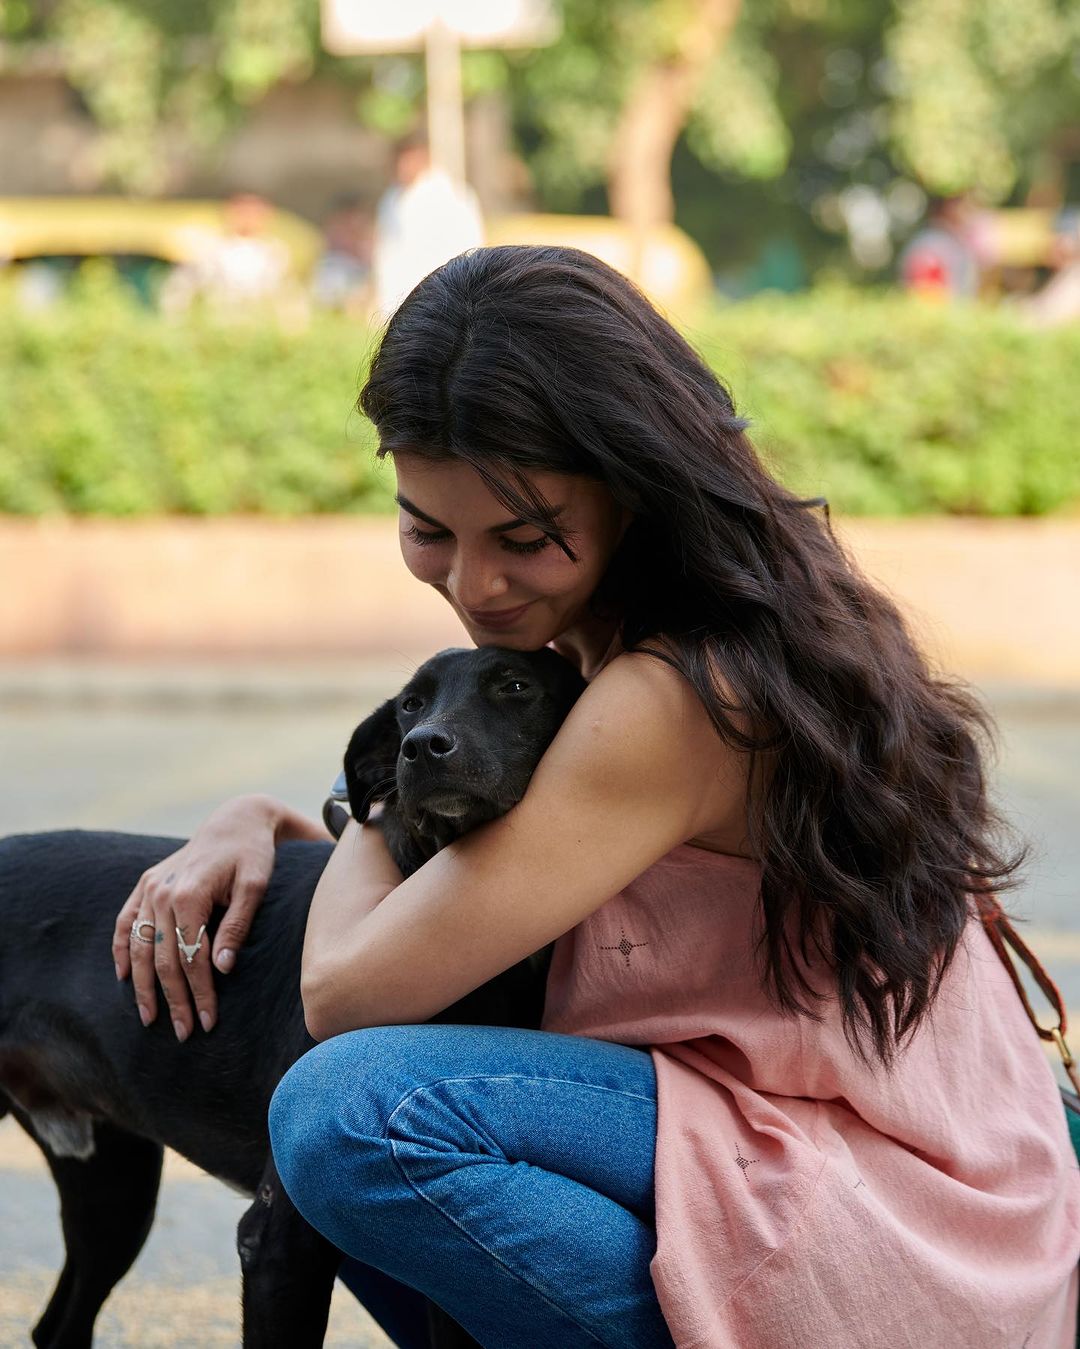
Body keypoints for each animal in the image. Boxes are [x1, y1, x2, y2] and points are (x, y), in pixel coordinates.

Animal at [0, 647, 582, 1343]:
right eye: (409, 704)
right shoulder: (278, 1241)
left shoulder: (455, 1281)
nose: (420, 746)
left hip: (113, 1186)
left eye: (516, 686)